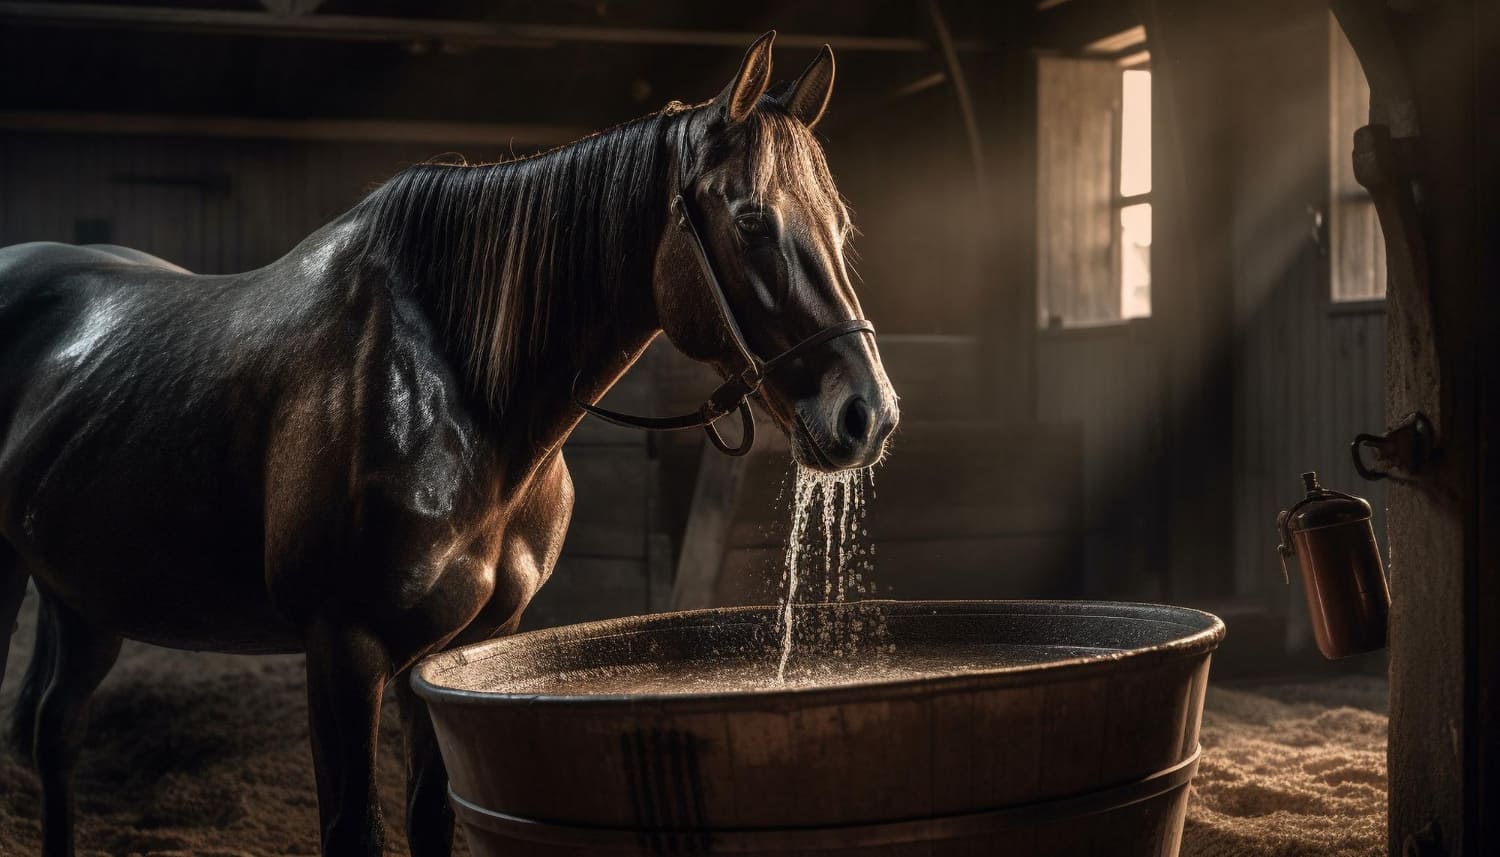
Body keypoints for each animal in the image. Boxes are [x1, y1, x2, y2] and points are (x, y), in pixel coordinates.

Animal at [0, 31, 897, 857]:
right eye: (751, 219)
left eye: (840, 223)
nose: (869, 414)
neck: (455, 393)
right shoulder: (343, 647)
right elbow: (353, 830)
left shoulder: (456, 650)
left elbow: (430, 818)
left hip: (84, 596)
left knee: (56, 731)